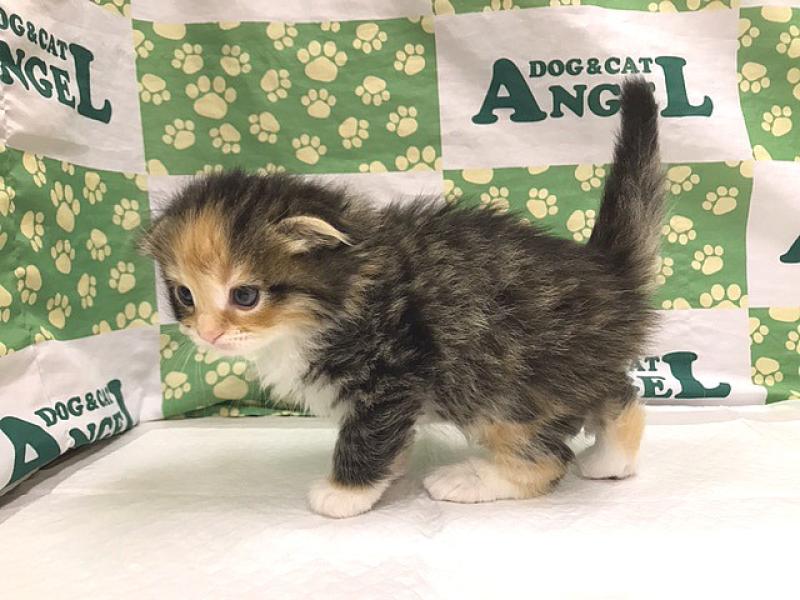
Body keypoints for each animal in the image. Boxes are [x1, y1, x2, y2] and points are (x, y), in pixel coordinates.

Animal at [141, 77, 664, 519]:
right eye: (184, 295)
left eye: (245, 295)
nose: (207, 334)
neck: (351, 285)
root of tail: (606, 270)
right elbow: (390, 438)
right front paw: (387, 476)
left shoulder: (391, 371)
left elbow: (367, 435)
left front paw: (345, 492)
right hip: (568, 371)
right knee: (618, 395)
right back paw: (612, 459)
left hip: (500, 385)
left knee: (549, 456)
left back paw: (470, 479)